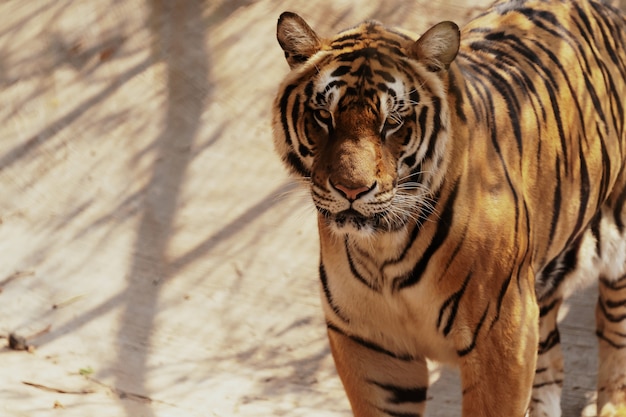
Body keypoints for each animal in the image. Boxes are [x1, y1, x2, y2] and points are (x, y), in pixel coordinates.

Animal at [270, 0, 624, 416]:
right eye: (324, 116)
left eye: (392, 122)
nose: (351, 189)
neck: (383, 249)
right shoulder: (369, 344)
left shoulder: (502, 334)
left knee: (614, 333)